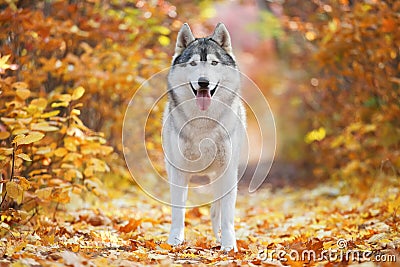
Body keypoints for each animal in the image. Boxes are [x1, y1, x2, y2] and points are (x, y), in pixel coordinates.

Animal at [162, 23, 244, 253]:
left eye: (214, 63)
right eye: (193, 63)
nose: (203, 82)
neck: (203, 124)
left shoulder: (228, 172)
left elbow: (227, 216)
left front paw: (229, 246)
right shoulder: (178, 173)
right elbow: (178, 212)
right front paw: (175, 241)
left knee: (217, 210)